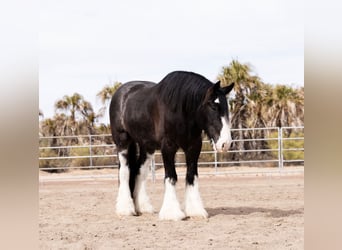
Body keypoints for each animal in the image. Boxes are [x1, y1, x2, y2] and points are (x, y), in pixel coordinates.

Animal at [109, 71, 235, 221]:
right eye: (213, 106)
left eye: (226, 108)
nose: (225, 143)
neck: (180, 110)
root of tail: (121, 93)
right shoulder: (168, 147)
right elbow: (171, 176)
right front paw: (172, 213)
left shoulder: (193, 147)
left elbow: (191, 176)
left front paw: (195, 210)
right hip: (122, 141)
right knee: (124, 171)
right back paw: (125, 209)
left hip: (147, 146)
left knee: (140, 171)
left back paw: (143, 207)